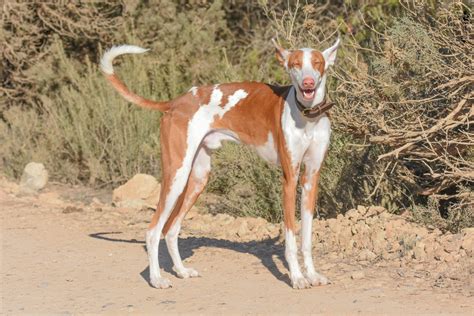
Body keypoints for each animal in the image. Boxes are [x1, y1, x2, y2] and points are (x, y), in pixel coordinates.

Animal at [101, 37, 340, 288]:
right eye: (295, 64)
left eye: (317, 63)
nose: (308, 82)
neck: (308, 116)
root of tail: (176, 102)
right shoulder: (289, 179)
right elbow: (291, 239)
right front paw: (296, 277)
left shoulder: (310, 178)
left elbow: (306, 238)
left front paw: (312, 274)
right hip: (176, 174)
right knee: (153, 230)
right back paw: (156, 279)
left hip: (198, 178)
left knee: (171, 229)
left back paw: (181, 271)